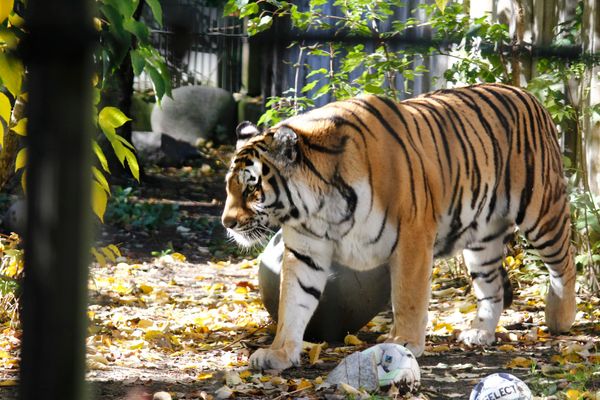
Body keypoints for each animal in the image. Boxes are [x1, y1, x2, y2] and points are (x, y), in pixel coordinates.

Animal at [220, 83, 576, 370]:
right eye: (229, 186)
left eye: (251, 188)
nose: (227, 222)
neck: (317, 204)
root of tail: (527, 94)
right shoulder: (306, 251)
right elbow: (292, 303)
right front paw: (279, 353)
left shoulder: (413, 235)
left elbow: (407, 295)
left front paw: (403, 341)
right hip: (482, 239)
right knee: (492, 286)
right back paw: (479, 333)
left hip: (541, 209)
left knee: (565, 261)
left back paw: (561, 317)